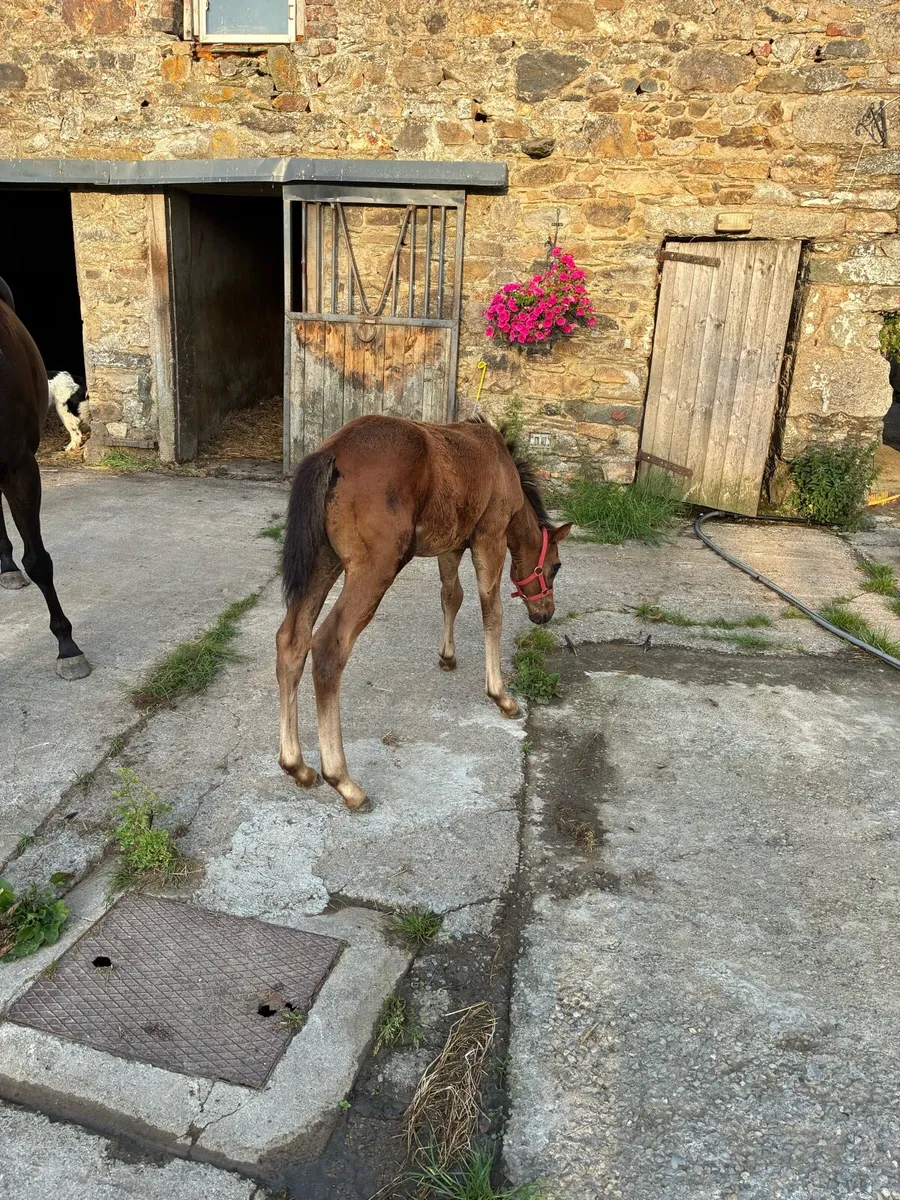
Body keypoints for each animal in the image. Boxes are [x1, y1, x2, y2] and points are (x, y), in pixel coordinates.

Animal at [276, 413, 571, 812]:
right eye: (555, 567)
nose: (544, 614)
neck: (500, 462)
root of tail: (331, 452)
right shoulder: (489, 537)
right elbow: (491, 611)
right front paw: (501, 697)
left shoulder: (452, 545)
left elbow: (451, 595)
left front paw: (447, 656)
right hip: (374, 568)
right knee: (327, 647)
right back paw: (344, 783)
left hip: (323, 561)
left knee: (292, 640)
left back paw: (298, 767)